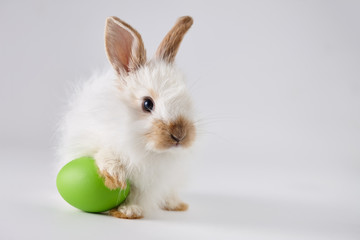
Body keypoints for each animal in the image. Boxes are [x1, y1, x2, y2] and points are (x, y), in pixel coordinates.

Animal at [57, 16, 197, 219]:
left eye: (187, 99)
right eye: (147, 104)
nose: (180, 135)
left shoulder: (152, 183)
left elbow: (139, 195)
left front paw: (129, 210)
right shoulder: (91, 141)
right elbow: (104, 154)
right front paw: (114, 176)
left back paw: (175, 204)